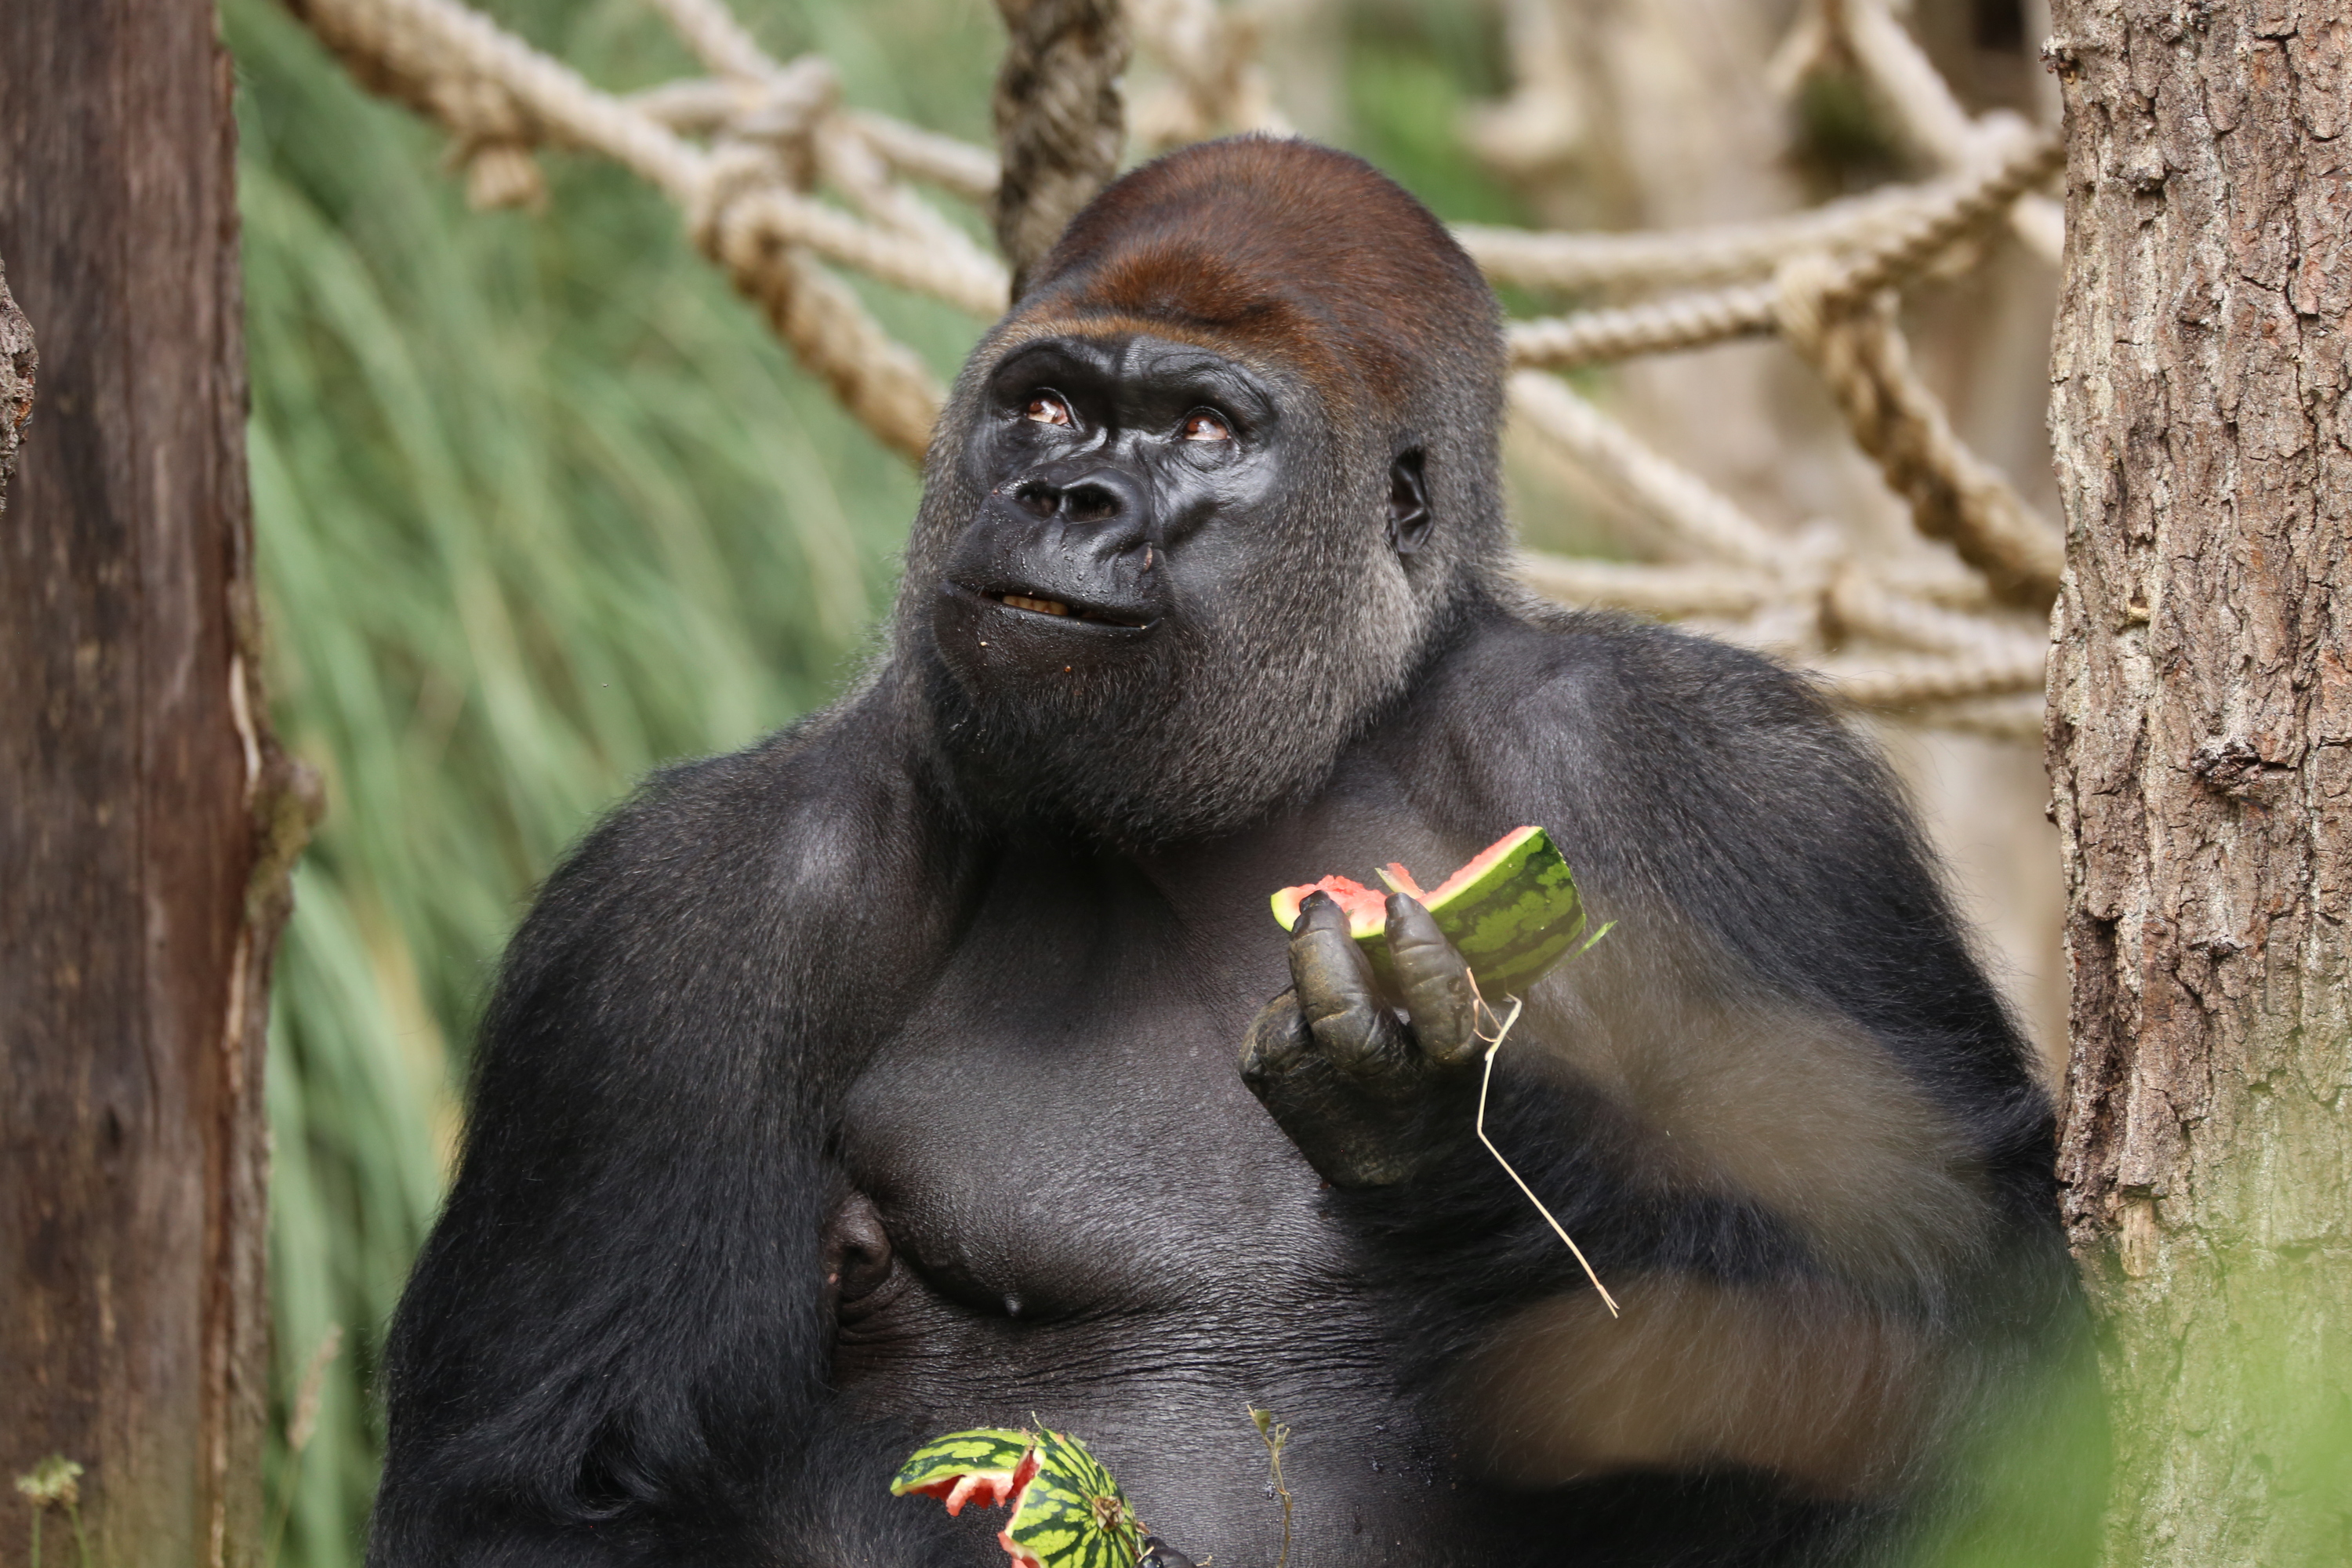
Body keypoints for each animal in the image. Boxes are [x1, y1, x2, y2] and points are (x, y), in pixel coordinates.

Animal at [372, 140, 2098, 1568]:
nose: (1064, 495)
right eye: (1047, 405)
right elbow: (533, 1492)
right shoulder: (686, 911)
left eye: (1203, 428)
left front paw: (1452, 1142)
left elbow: (1967, 1320)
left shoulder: (1721, 781)